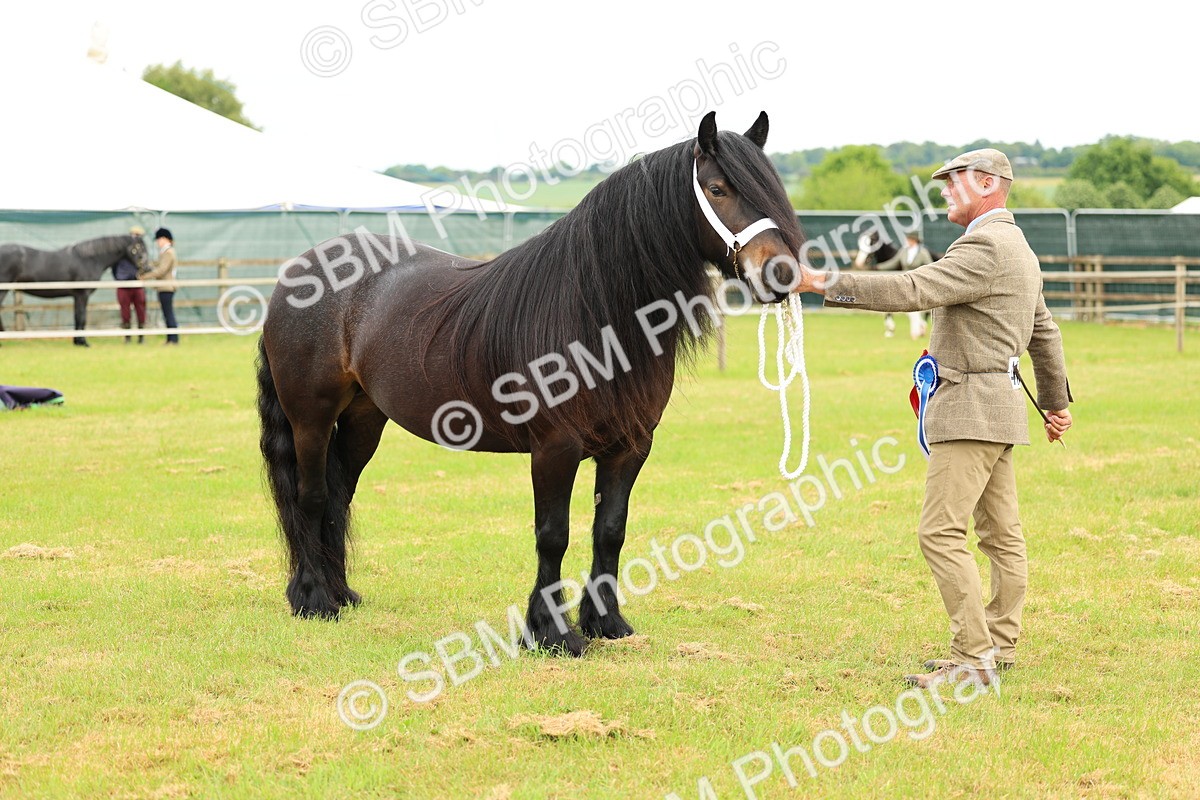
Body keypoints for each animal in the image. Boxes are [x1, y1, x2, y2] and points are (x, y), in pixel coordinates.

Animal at [0, 233, 149, 346]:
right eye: (138, 248)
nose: (147, 268)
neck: (90, 260)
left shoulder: (77, 296)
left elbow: (77, 316)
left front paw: (77, 341)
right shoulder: (83, 295)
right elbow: (82, 317)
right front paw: (84, 342)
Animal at [257, 111, 805, 655]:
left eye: (774, 188)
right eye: (717, 188)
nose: (781, 274)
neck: (595, 311)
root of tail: (300, 272)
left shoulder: (631, 447)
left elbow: (610, 530)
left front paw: (606, 622)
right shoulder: (555, 447)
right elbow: (553, 534)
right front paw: (551, 632)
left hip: (364, 419)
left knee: (338, 494)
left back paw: (341, 593)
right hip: (311, 417)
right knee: (310, 496)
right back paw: (313, 600)